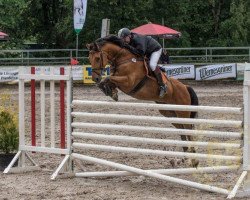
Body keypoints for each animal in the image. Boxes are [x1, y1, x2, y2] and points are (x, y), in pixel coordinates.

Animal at [86, 35, 199, 167]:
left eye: (98, 58)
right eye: (89, 58)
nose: (95, 78)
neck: (124, 59)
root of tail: (185, 87)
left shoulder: (128, 82)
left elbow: (108, 78)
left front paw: (110, 91)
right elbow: (109, 80)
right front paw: (111, 92)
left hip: (183, 112)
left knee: (188, 130)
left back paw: (194, 160)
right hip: (169, 112)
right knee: (181, 130)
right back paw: (183, 158)